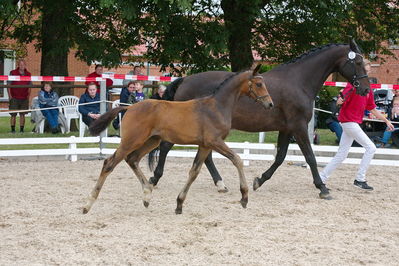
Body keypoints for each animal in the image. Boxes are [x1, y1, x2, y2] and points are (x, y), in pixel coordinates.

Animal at [81, 65, 276, 215]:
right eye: (259, 84)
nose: (270, 104)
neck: (217, 107)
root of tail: (128, 108)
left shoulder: (205, 145)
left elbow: (194, 172)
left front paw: (179, 204)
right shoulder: (215, 141)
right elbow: (238, 160)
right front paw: (244, 197)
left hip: (151, 141)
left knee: (132, 159)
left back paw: (147, 195)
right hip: (132, 141)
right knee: (109, 163)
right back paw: (87, 204)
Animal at [149, 40, 372, 200]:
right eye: (358, 62)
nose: (365, 89)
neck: (299, 81)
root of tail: (185, 80)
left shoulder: (287, 129)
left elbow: (280, 157)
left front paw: (259, 180)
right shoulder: (299, 127)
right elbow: (310, 157)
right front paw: (322, 188)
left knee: (206, 156)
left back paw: (220, 184)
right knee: (167, 146)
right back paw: (154, 178)